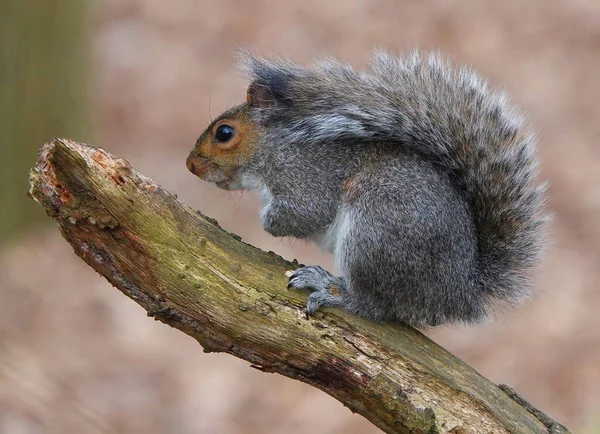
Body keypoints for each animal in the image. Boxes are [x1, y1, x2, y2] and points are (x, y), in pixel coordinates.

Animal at [188, 50, 548, 326]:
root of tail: (459, 293)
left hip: (375, 231)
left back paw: (329, 288)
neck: (272, 147)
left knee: (374, 307)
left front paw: (268, 222)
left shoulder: (306, 176)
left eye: (224, 133)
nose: (191, 166)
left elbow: (306, 213)